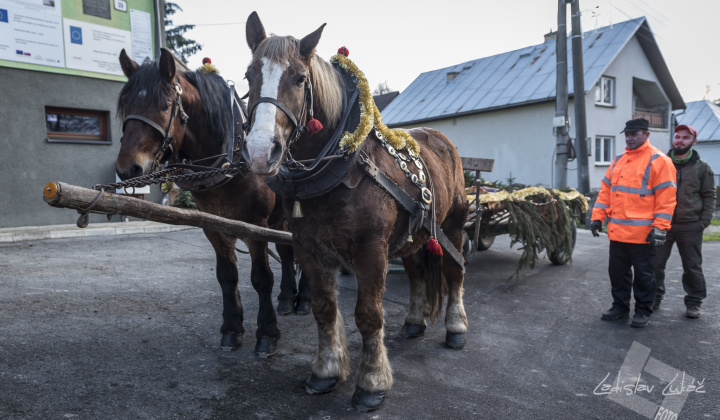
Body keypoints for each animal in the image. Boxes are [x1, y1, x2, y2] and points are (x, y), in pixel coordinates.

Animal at [114, 48, 310, 358]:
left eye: (165, 105)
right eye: (125, 103)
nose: (127, 168)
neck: (231, 157)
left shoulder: (255, 225)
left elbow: (261, 278)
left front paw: (267, 334)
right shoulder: (213, 226)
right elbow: (227, 276)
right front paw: (231, 330)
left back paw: (305, 300)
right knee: (287, 251)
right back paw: (287, 299)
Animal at [245, 12, 470, 410]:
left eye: (300, 78)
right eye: (248, 76)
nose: (259, 152)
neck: (342, 164)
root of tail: (441, 138)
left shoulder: (371, 251)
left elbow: (368, 316)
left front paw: (372, 382)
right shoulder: (309, 248)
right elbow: (323, 308)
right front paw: (326, 370)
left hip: (454, 223)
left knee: (455, 272)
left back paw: (456, 327)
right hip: (413, 235)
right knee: (416, 272)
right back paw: (414, 322)